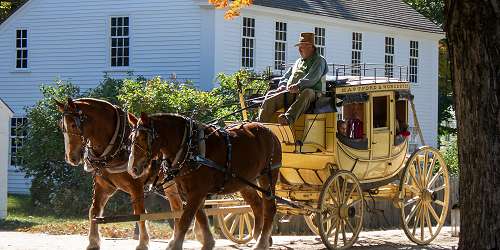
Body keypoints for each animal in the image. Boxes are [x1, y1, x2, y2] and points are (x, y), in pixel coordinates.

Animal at [54, 98, 195, 249]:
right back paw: (174, 240)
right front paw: (93, 242)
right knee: (177, 207)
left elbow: (140, 213)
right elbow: (94, 210)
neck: (117, 146)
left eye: (74, 125)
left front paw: (143, 242)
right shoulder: (103, 186)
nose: (70, 158)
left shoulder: (136, 187)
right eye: (61, 125)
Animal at [126, 113, 282, 250]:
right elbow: (200, 217)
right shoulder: (191, 192)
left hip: (268, 176)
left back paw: (261, 242)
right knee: (256, 204)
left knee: (269, 208)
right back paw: (260, 236)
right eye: (130, 137)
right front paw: (208, 242)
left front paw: (176, 245)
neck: (190, 147)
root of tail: (270, 131)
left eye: (142, 138)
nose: (132, 169)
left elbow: (186, 219)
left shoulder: (197, 191)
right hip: (244, 182)